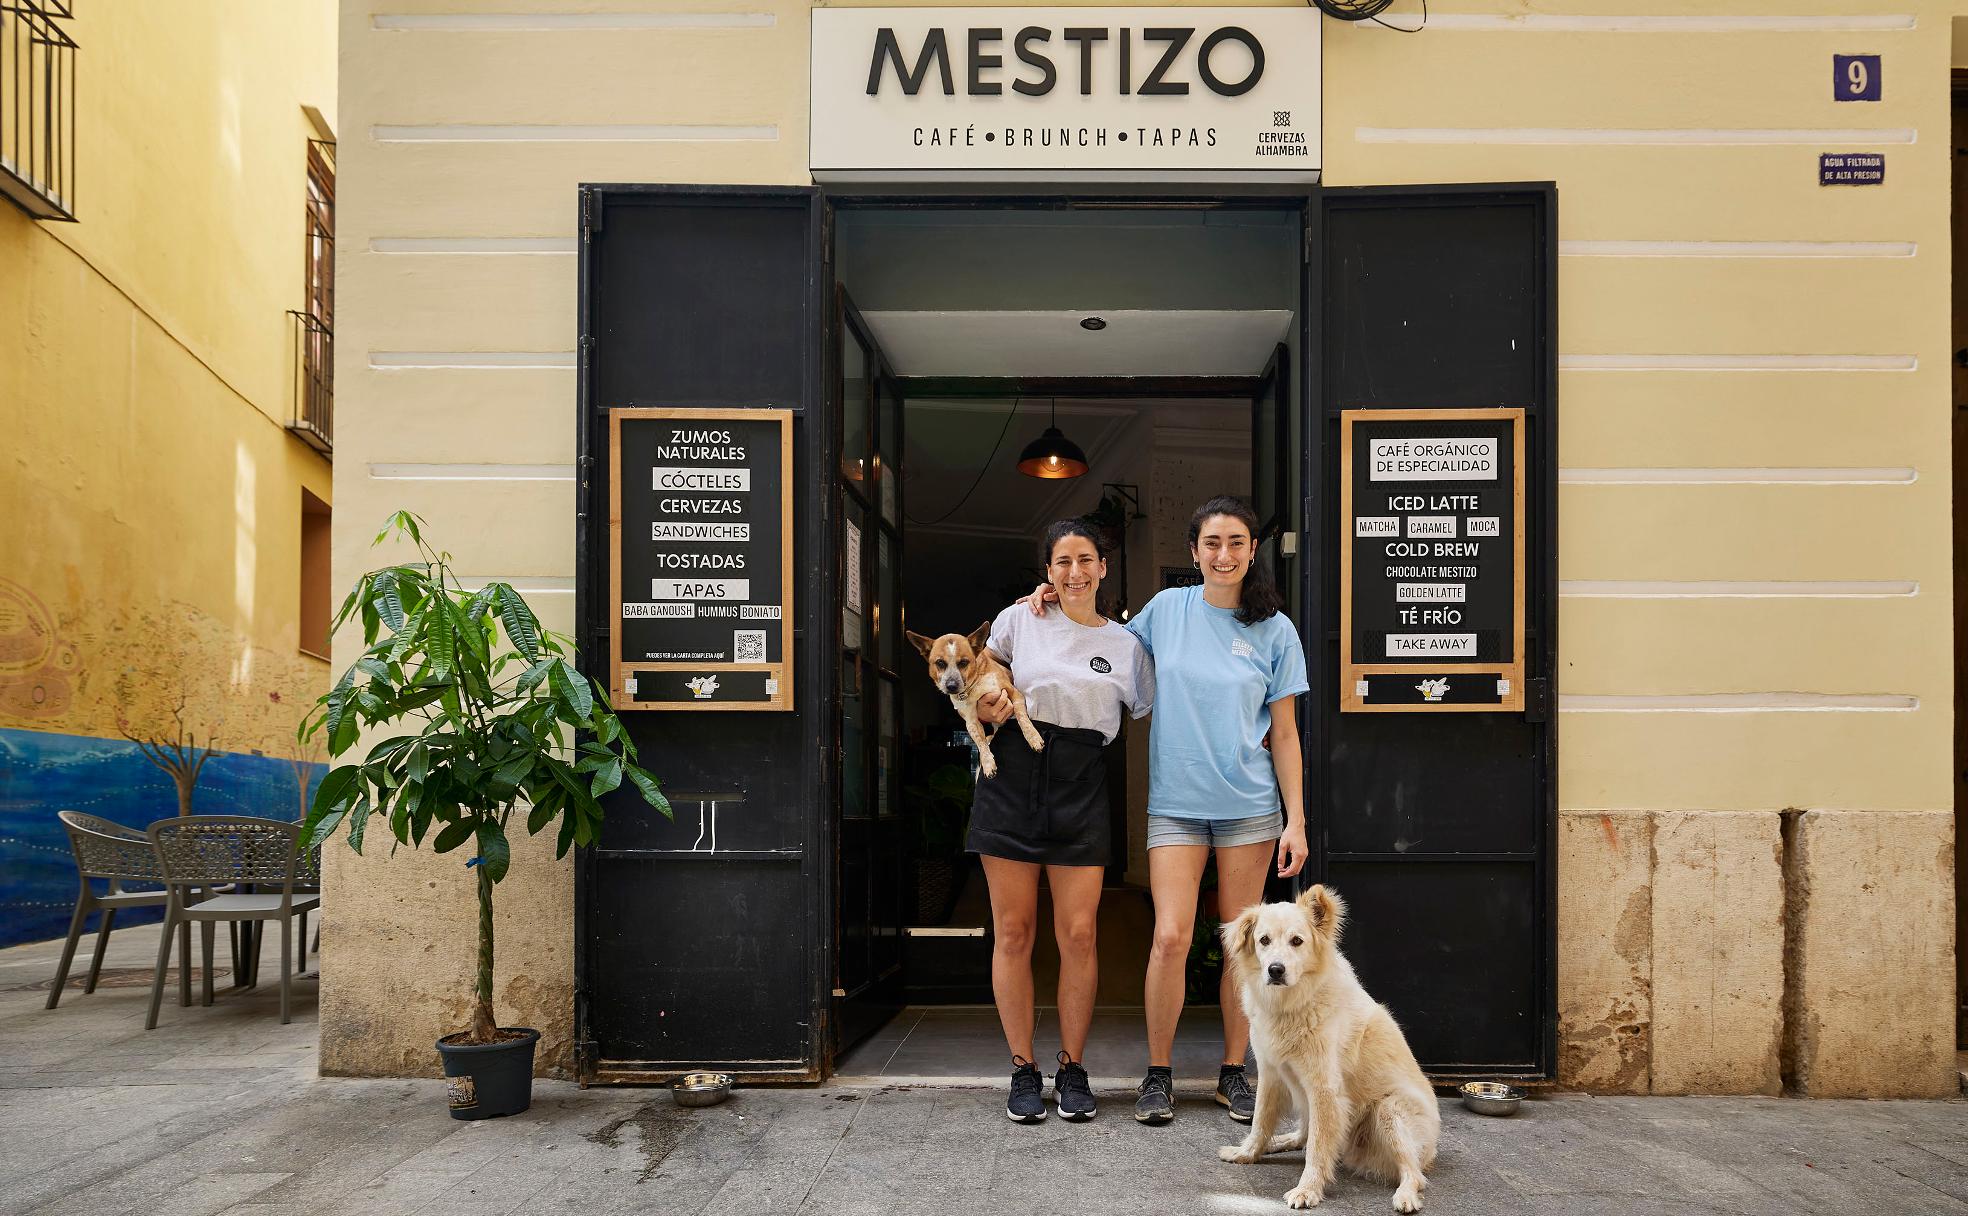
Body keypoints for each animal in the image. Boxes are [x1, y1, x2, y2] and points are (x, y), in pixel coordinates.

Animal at [909, 613, 1054, 775]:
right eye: (940, 663)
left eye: (964, 662)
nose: (951, 686)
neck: (974, 687)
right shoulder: (971, 721)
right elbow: (980, 742)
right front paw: (988, 763)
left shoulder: (1014, 693)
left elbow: (1022, 718)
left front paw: (1033, 738)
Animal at [1204, 885, 1440, 1204]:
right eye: (1263, 940)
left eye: (1297, 941)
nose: (1275, 970)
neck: (1294, 1004)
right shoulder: (1271, 1073)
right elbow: (1262, 1120)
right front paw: (1248, 1152)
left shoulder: (1324, 1088)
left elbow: (1318, 1146)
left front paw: (1308, 1189)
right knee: (1303, 1133)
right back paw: (1281, 1141)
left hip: (1388, 1111)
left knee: (1415, 1173)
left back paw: (1406, 1196)